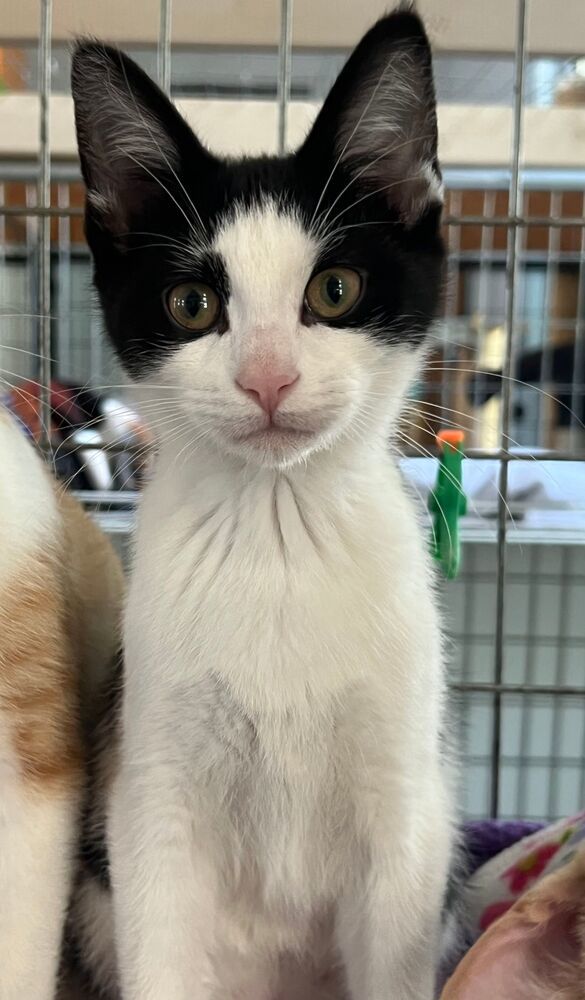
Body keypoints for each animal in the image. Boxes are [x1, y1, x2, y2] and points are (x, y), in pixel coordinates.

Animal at [69, 9, 452, 1000]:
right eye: (192, 303)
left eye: (335, 290)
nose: (267, 377)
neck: (279, 534)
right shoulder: (149, 793)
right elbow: (160, 937)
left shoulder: (405, 809)